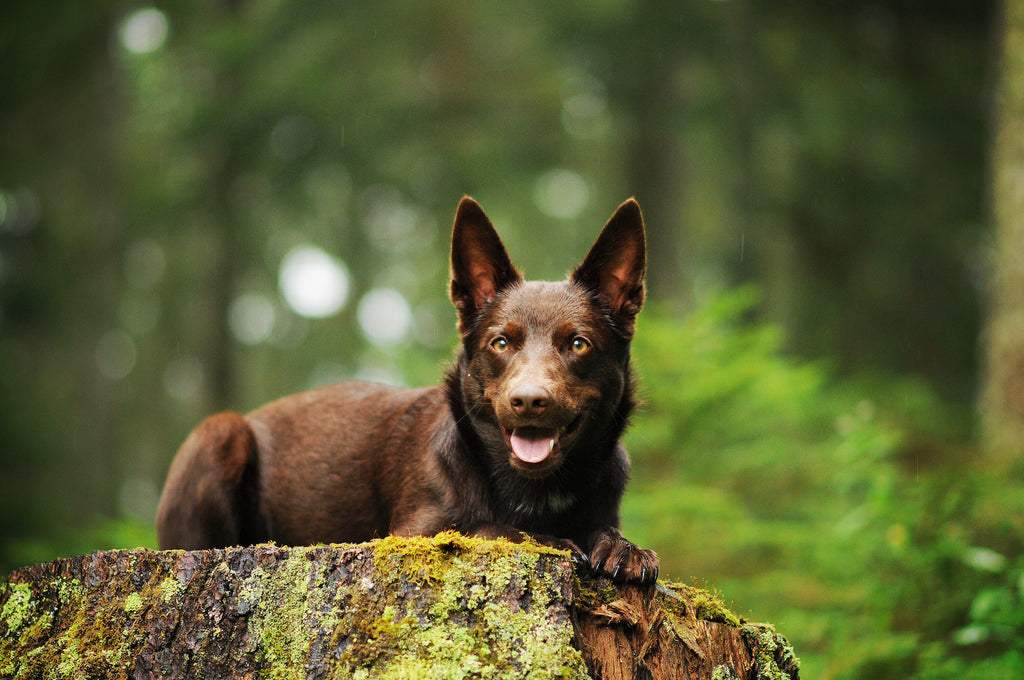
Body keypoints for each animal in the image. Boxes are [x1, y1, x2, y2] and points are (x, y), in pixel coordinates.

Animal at [155, 195, 659, 585]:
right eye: (500, 343)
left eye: (578, 343)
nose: (529, 401)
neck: (533, 492)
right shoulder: (415, 531)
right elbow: (484, 530)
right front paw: (551, 541)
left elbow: (602, 531)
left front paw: (622, 547)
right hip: (219, 433)